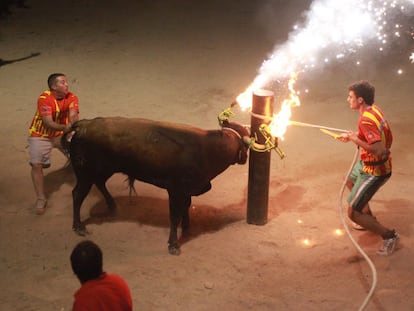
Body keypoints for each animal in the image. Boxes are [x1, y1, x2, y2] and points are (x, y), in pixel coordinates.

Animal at [61, 117, 249, 256]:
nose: (245, 158)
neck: (206, 149)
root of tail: (84, 124)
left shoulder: (186, 191)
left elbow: (186, 208)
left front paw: (187, 227)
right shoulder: (176, 191)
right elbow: (175, 215)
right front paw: (174, 244)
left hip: (105, 169)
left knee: (99, 182)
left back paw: (112, 205)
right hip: (86, 173)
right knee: (77, 194)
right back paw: (79, 227)